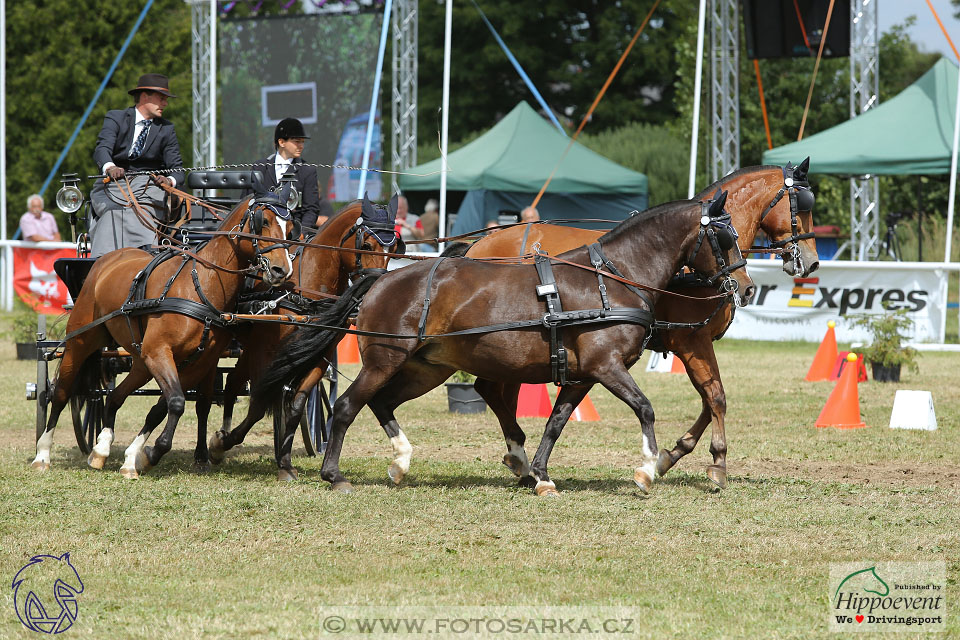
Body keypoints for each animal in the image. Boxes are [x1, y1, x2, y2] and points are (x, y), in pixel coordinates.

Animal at [31, 192, 294, 478]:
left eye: (291, 228)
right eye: (263, 221)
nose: (282, 270)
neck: (199, 285)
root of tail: (107, 259)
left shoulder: (197, 361)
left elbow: (163, 407)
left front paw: (136, 457)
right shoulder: (159, 351)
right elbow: (176, 402)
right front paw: (153, 452)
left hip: (140, 360)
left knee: (114, 396)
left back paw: (101, 450)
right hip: (82, 341)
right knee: (61, 392)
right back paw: (42, 454)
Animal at [206, 198, 398, 478]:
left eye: (394, 248)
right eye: (366, 245)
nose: (376, 289)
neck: (307, 291)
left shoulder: (319, 354)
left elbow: (296, 405)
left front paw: (285, 463)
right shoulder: (266, 352)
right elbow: (258, 404)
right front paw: (223, 443)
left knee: (233, 383)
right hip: (252, 351)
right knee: (233, 385)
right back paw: (219, 441)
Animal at [255, 194, 752, 496]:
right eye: (724, 237)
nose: (745, 288)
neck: (613, 279)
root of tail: (379, 278)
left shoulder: (582, 376)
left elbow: (555, 422)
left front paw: (541, 475)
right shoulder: (607, 366)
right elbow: (645, 408)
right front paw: (647, 469)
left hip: (425, 367)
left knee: (383, 403)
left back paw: (401, 461)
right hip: (386, 359)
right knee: (346, 407)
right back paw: (334, 474)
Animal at [464, 162, 816, 488]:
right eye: (803, 204)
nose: (811, 262)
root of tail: (480, 243)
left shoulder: (697, 344)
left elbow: (710, 398)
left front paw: (671, 455)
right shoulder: (691, 341)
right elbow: (715, 396)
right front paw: (716, 463)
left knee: (493, 389)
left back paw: (519, 457)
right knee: (493, 389)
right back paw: (519, 457)